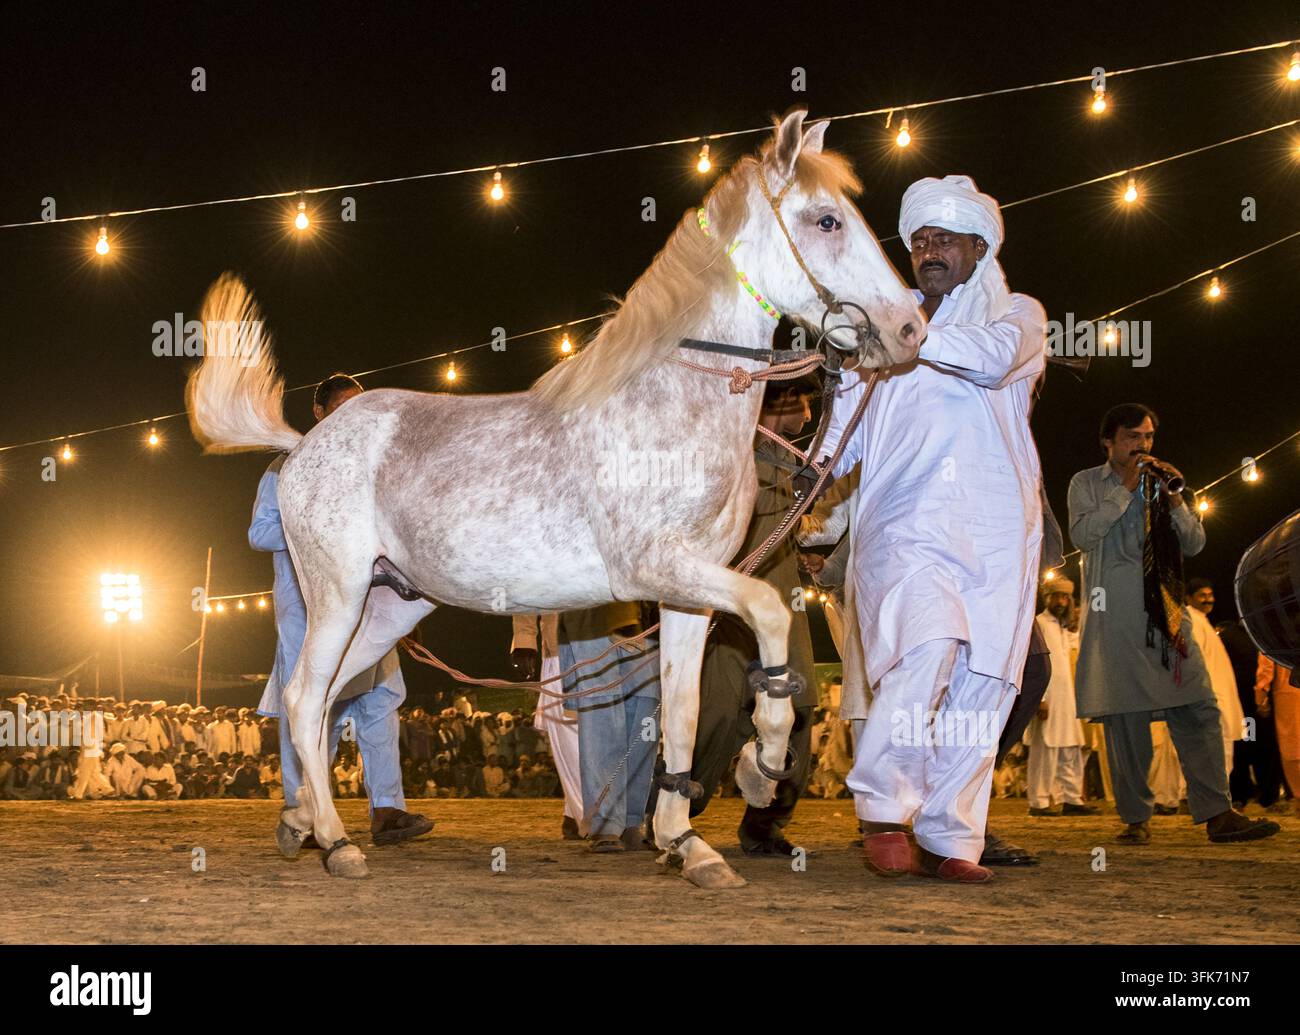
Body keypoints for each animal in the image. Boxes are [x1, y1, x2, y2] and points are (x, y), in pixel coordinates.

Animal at [186, 108, 924, 888]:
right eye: (825, 220)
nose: (910, 328)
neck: (669, 402)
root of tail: (302, 444)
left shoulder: (688, 594)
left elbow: (683, 710)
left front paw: (686, 841)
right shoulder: (659, 568)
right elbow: (771, 616)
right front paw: (763, 765)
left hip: (387, 606)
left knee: (328, 700)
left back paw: (301, 821)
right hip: (337, 595)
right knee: (303, 700)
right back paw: (335, 840)